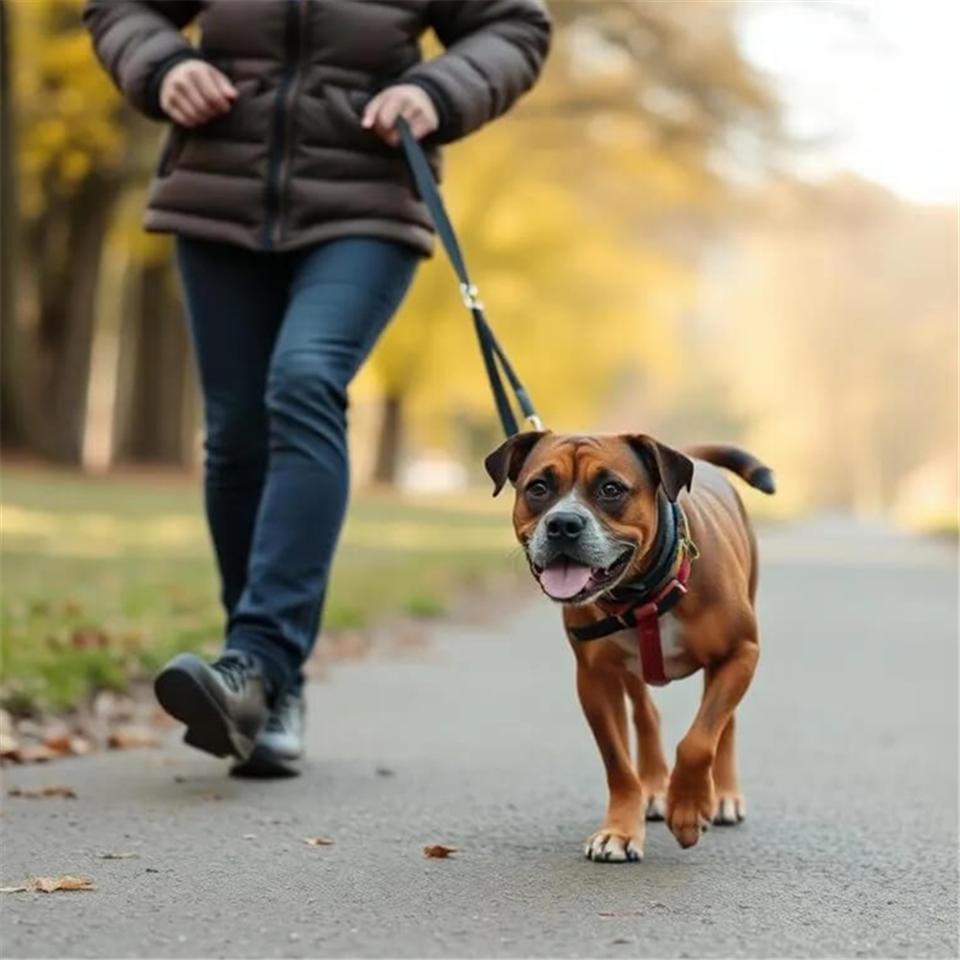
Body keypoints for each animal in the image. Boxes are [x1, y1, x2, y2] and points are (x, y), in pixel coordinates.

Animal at [484, 436, 776, 864]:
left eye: (611, 489)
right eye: (538, 488)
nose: (563, 523)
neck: (643, 594)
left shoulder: (741, 654)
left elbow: (699, 740)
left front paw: (689, 810)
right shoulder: (595, 680)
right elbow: (617, 762)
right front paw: (621, 832)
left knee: (726, 725)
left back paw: (722, 795)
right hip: (629, 671)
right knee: (645, 713)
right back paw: (654, 789)